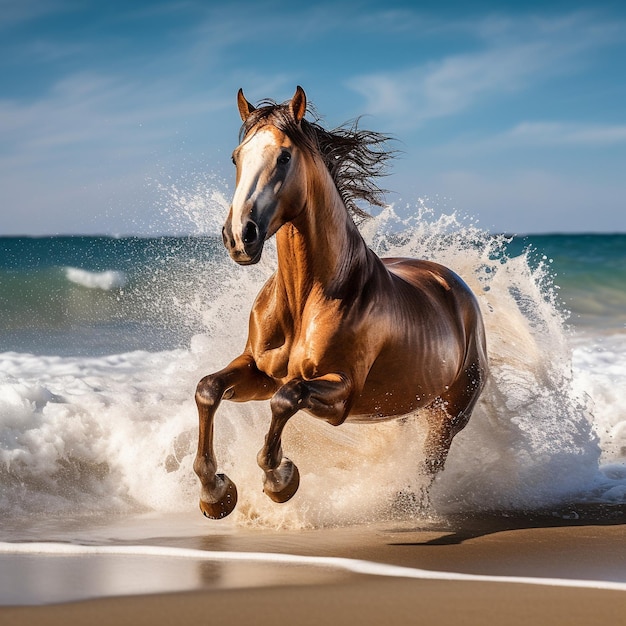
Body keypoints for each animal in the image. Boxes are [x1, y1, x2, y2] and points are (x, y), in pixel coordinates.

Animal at [193, 86, 486, 516]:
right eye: (236, 157)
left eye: (284, 156)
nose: (239, 236)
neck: (307, 299)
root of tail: (456, 286)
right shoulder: (259, 371)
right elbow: (209, 389)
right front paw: (215, 493)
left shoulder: (342, 391)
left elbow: (286, 399)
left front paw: (280, 480)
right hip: (407, 406)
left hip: (450, 414)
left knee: (429, 465)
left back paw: (400, 504)